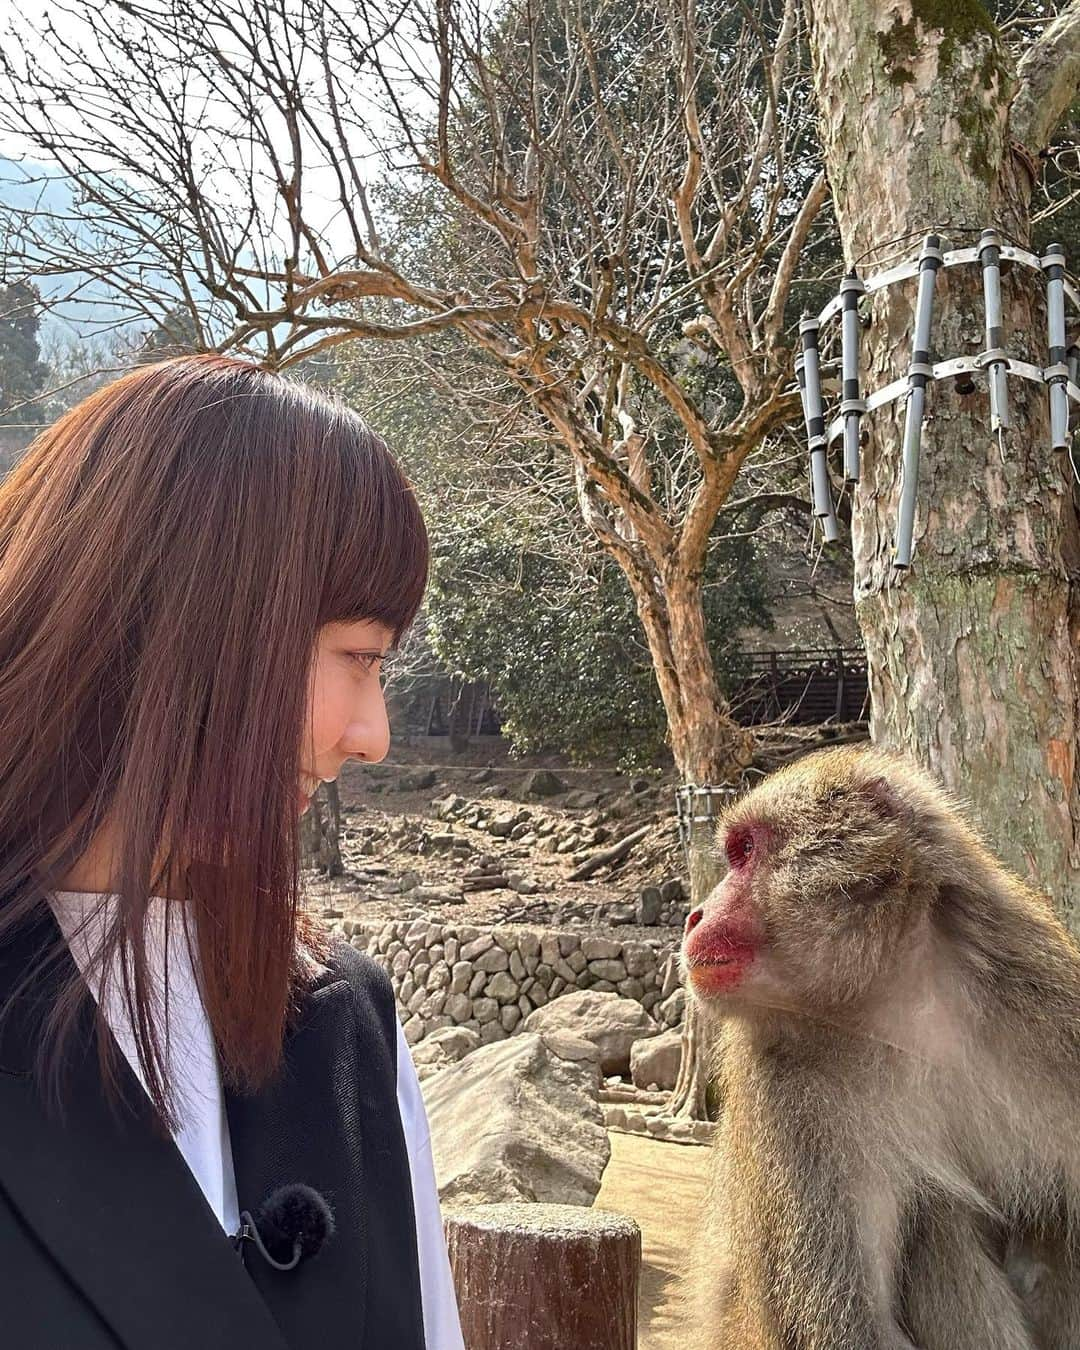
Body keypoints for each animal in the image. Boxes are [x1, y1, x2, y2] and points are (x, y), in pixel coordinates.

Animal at [680, 750, 1080, 1350]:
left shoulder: (1040, 993)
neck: (899, 1005)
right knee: (937, 1215)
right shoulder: (789, 1101)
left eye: (744, 850)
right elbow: (846, 1325)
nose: (694, 915)